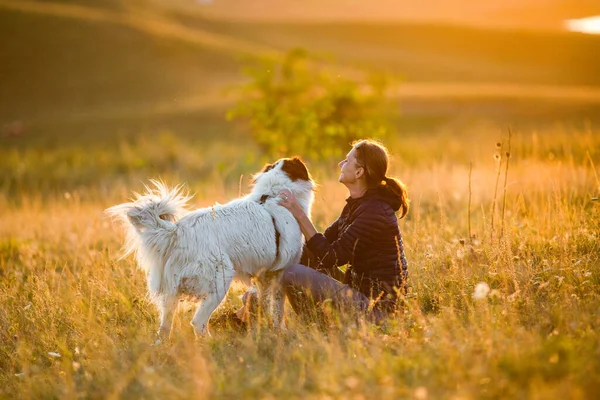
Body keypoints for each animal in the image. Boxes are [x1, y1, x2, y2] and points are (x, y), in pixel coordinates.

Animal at [107, 158, 314, 336]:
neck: (272, 194)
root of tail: (176, 232)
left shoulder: (264, 276)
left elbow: (264, 305)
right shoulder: (280, 272)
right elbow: (278, 310)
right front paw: (280, 331)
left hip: (171, 296)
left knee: (165, 328)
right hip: (220, 280)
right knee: (198, 322)